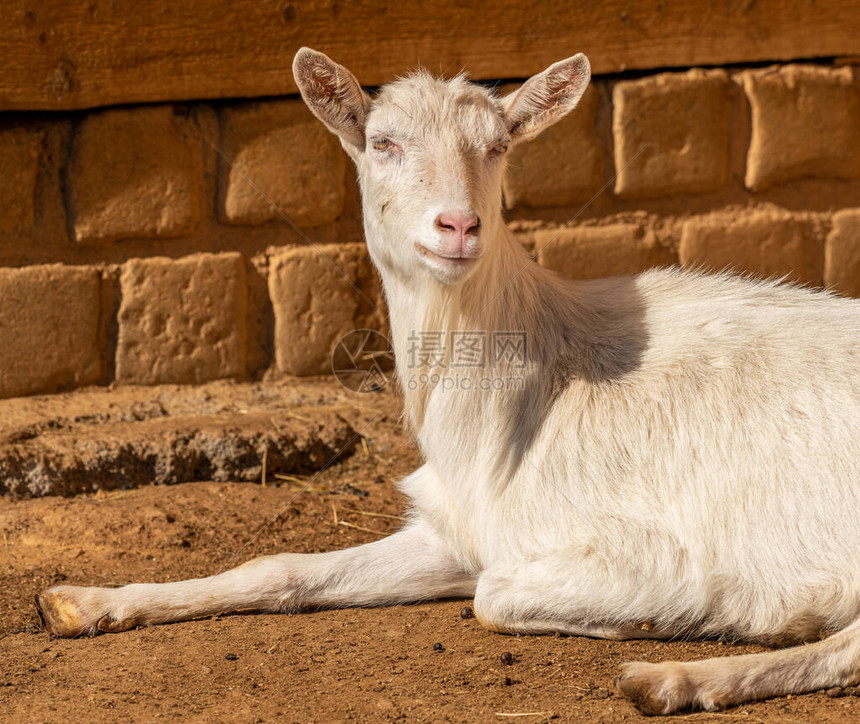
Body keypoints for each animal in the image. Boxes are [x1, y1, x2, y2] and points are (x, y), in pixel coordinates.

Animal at [38, 48, 860, 716]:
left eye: (498, 147)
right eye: (382, 141)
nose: (458, 227)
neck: (520, 399)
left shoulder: (651, 549)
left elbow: (496, 595)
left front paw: (731, 614)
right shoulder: (456, 529)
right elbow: (282, 568)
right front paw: (83, 603)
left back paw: (678, 679)